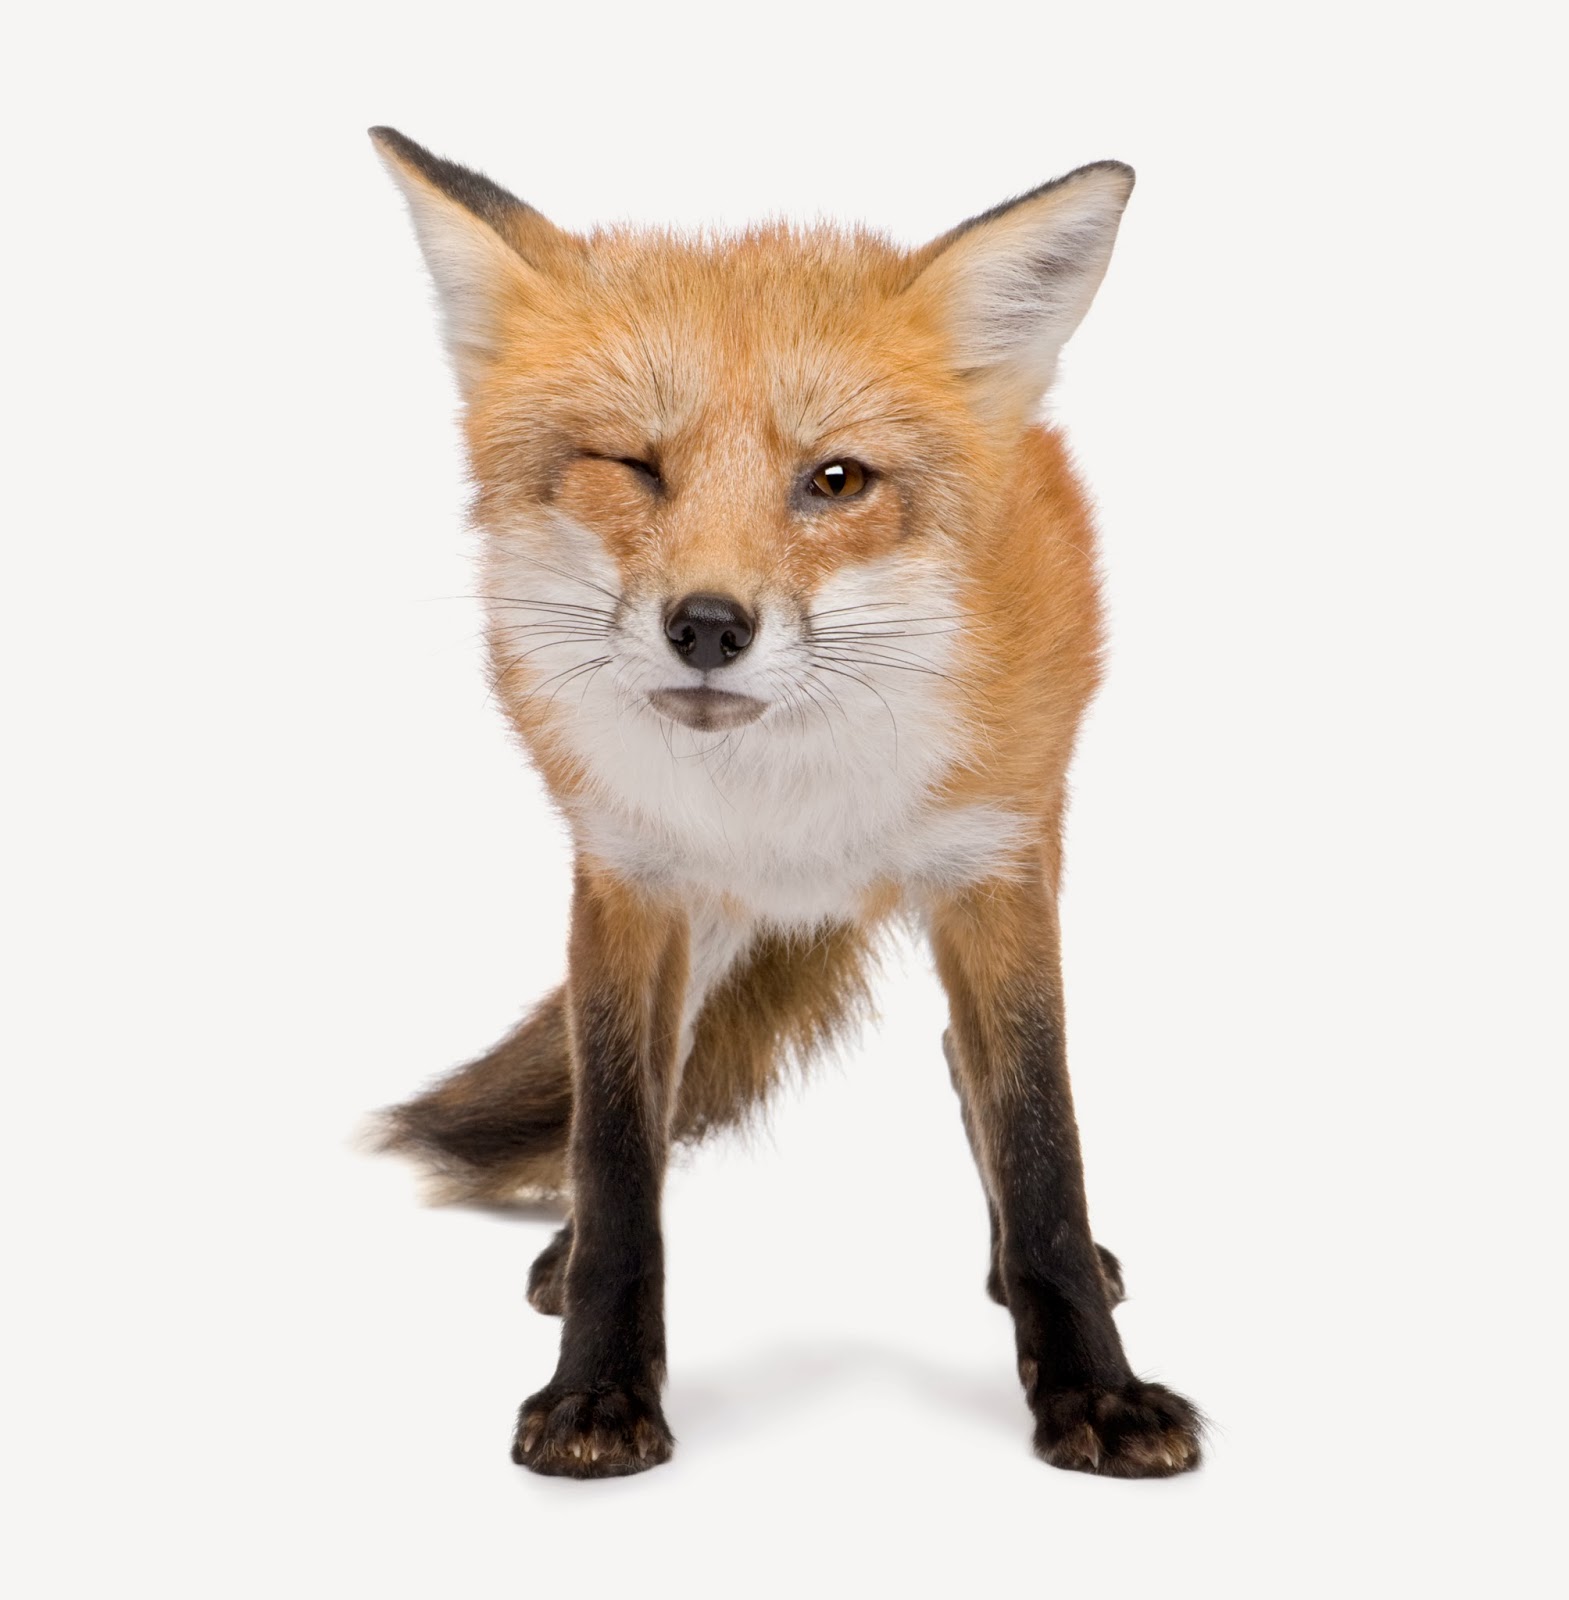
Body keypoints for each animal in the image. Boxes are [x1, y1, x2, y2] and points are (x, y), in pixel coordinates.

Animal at [370, 126, 1204, 1480]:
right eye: (633, 464)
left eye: (836, 479)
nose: (708, 625)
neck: (786, 809)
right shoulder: (629, 880)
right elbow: (616, 1143)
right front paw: (598, 1387)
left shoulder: (991, 874)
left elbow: (1040, 1143)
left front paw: (1093, 1385)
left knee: (961, 1063)